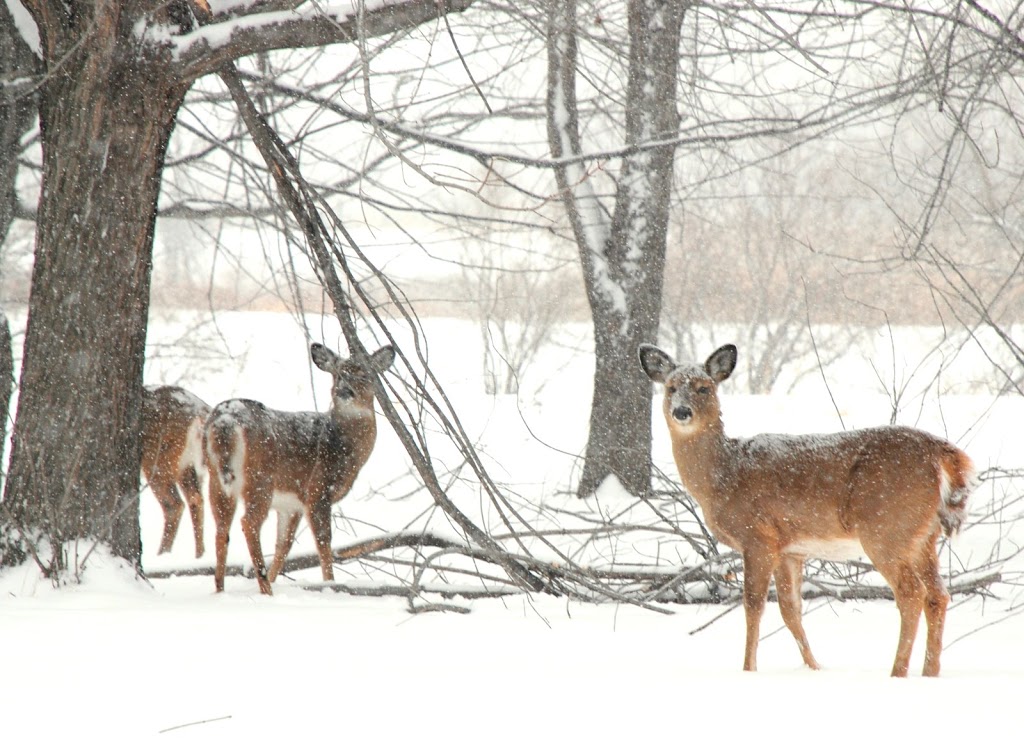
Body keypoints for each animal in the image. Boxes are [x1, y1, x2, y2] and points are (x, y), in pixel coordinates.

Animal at [142, 386, 209, 556]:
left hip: (159, 462)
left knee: (174, 505)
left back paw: (162, 554)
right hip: (188, 465)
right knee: (196, 499)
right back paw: (199, 556)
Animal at [638, 343, 974, 679]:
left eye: (704, 388)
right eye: (670, 388)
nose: (682, 412)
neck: (724, 476)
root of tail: (941, 453)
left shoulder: (758, 537)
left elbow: (754, 605)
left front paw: (748, 669)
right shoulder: (790, 549)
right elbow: (791, 610)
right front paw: (815, 668)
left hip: (886, 529)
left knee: (911, 593)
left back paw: (897, 672)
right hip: (924, 535)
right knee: (938, 594)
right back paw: (930, 672)